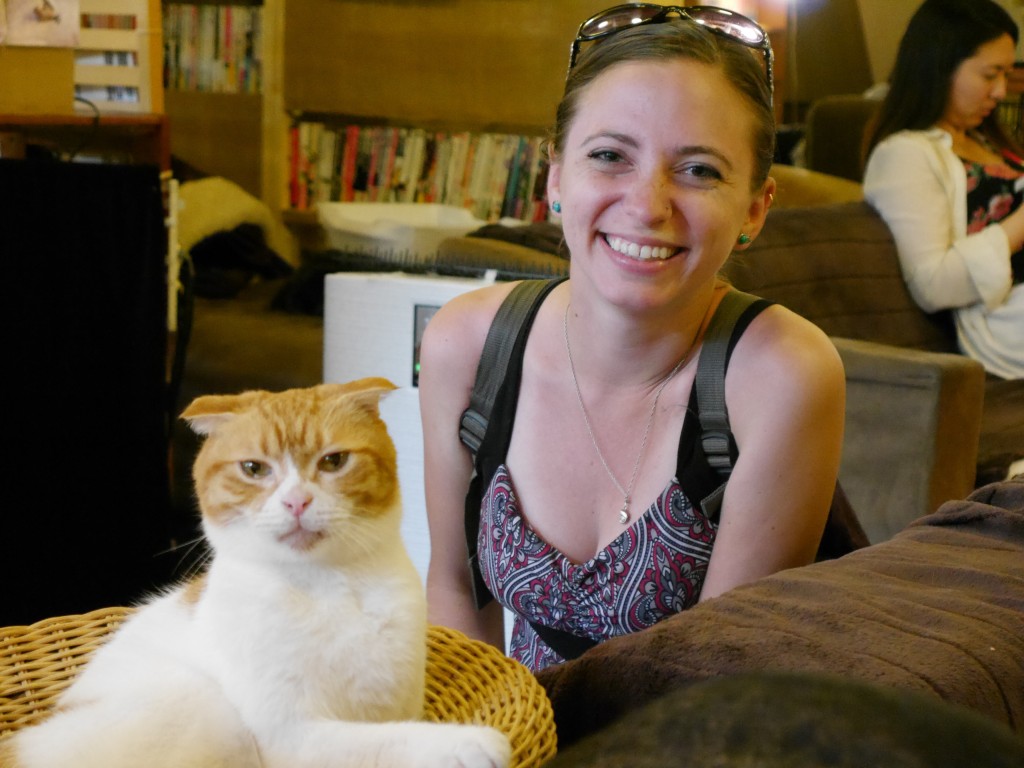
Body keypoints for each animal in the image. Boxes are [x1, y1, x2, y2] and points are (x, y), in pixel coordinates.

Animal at [4, 380, 507, 768]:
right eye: (253, 469)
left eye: (333, 461)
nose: (296, 501)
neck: (329, 590)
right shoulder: (291, 738)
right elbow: (389, 742)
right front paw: (468, 743)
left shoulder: (399, 701)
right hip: (200, 702)